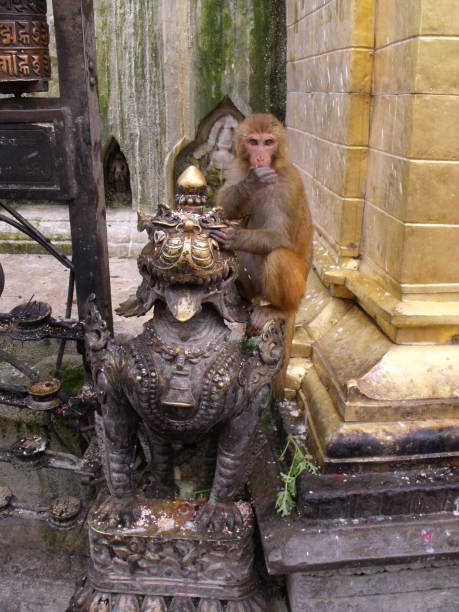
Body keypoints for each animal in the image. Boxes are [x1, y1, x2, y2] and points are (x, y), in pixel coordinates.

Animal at [211, 114, 312, 400]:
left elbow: (280, 236)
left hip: (298, 289)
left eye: (269, 142)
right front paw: (251, 183)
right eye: (253, 142)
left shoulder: (288, 186)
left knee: (278, 256)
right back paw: (244, 296)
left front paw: (233, 236)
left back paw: (278, 309)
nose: (259, 157)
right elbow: (224, 204)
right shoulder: (237, 168)